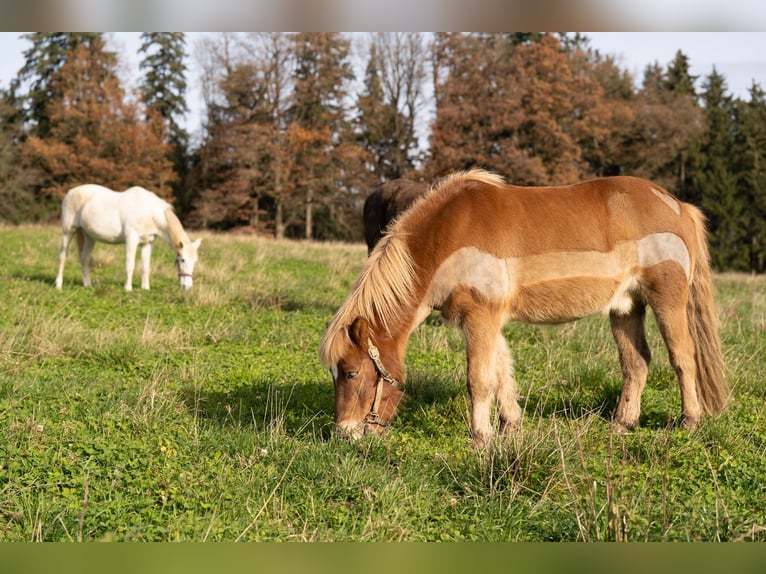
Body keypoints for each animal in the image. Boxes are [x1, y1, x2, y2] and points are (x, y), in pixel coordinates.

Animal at [55, 184, 202, 291]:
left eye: (195, 262)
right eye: (182, 260)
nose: (187, 287)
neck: (149, 212)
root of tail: (70, 192)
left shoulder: (148, 243)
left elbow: (145, 267)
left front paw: (145, 288)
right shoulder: (131, 240)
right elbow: (130, 265)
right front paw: (128, 288)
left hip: (89, 236)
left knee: (84, 258)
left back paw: (87, 284)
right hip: (68, 231)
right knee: (63, 256)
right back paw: (58, 284)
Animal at [320, 169, 728, 446]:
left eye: (351, 372)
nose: (345, 434)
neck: (449, 239)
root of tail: (677, 205)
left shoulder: (480, 318)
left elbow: (479, 380)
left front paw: (480, 436)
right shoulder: (487, 320)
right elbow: (502, 374)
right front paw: (511, 426)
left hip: (667, 299)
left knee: (683, 357)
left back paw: (689, 420)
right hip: (626, 307)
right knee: (637, 363)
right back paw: (622, 423)